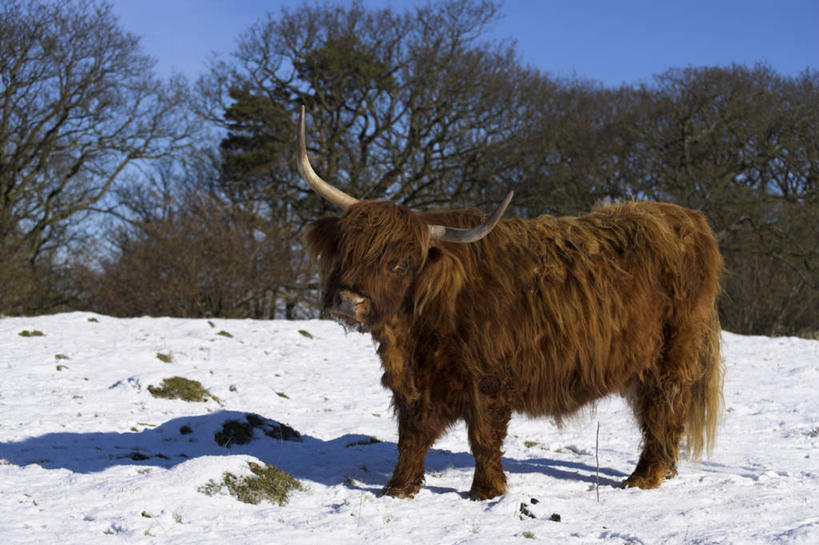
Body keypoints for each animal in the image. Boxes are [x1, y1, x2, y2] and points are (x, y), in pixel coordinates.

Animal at [298, 105, 728, 498]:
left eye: (401, 264)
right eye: (347, 250)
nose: (348, 300)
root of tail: (687, 218)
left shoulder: (488, 377)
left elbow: (484, 436)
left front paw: (486, 492)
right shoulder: (417, 383)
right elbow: (412, 435)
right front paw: (398, 488)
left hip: (670, 358)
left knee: (663, 412)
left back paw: (643, 479)